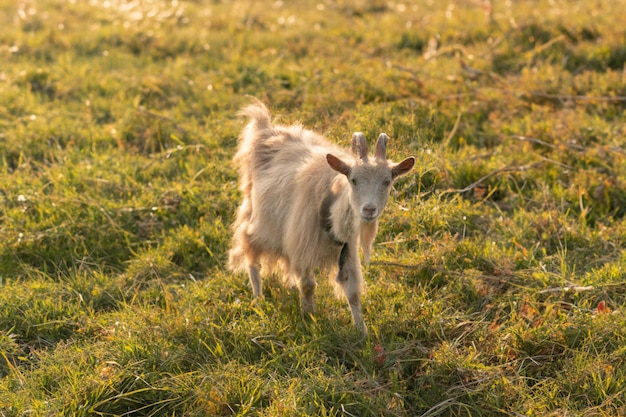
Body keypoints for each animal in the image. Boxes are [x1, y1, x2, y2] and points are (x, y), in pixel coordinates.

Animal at [227, 100, 412, 332]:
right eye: (353, 179)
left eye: (387, 181)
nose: (369, 210)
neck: (331, 205)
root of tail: (264, 128)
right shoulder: (303, 245)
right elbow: (308, 285)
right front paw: (309, 317)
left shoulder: (347, 249)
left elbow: (353, 292)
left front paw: (362, 331)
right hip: (255, 216)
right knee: (250, 253)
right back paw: (258, 298)